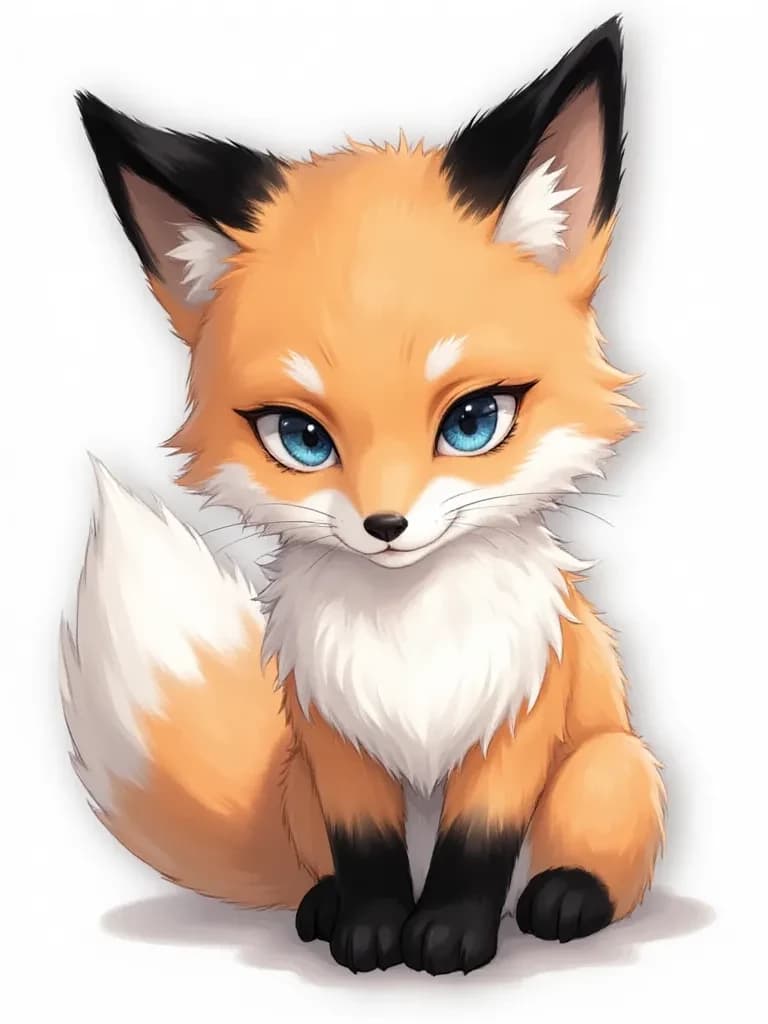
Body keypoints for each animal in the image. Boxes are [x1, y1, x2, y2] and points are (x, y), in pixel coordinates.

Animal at [60, 17, 665, 976]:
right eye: (303, 439)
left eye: (473, 421)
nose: (387, 525)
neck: (408, 640)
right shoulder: (333, 741)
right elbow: (368, 850)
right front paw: (372, 930)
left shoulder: (517, 721)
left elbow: (478, 845)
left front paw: (449, 935)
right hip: (300, 785)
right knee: (314, 864)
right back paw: (319, 905)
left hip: (607, 767)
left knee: (593, 843)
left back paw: (565, 898)